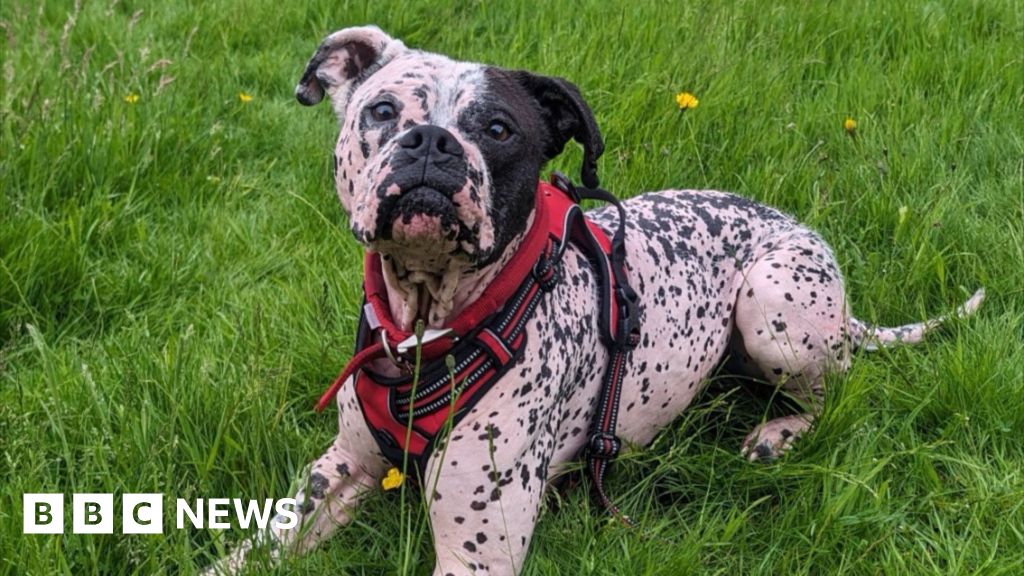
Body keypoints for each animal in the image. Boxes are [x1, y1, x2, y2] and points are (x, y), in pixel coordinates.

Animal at [205, 25, 983, 573]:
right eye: (383, 110)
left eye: (498, 129)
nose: (431, 142)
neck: (428, 328)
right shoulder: (339, 473)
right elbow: (254, 548)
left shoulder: (477, 551)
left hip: (774, 310)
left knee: (836, 395)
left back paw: (778, 433)